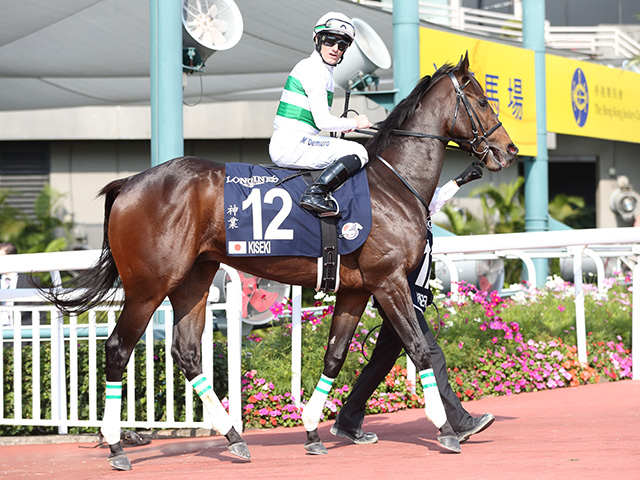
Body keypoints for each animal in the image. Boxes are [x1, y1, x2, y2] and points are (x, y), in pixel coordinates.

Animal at [45, 54, 516, 470]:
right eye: (481, 100)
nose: (508, 150)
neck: (394, 182)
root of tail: (129, 182)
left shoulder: (356, 290)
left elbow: (335, 356)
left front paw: (311, 431)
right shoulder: (390, 281)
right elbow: (418, 349)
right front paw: (447, 430)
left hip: (193, 280)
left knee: (187, 353)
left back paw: (234, 439)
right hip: (148, 285)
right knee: (118, 349)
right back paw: (116, 447)